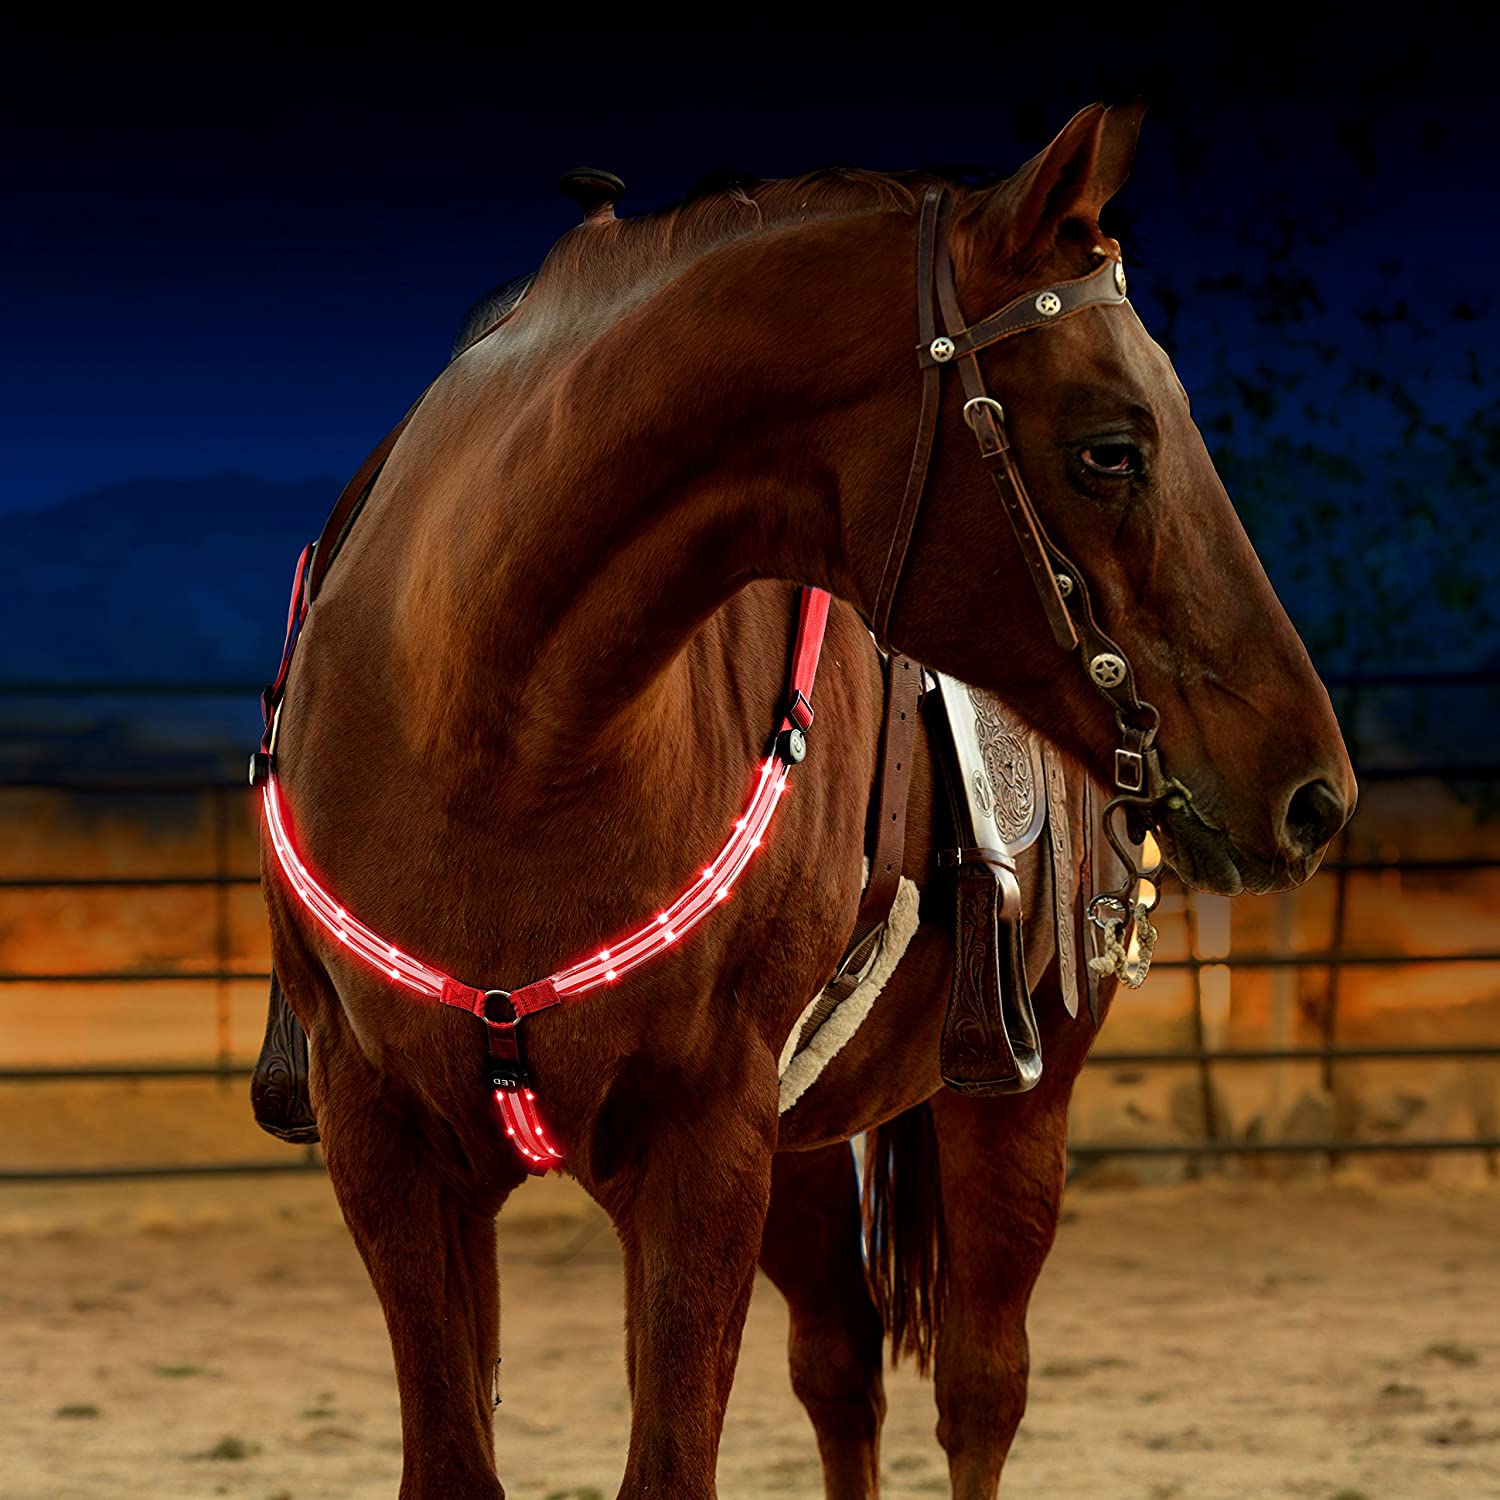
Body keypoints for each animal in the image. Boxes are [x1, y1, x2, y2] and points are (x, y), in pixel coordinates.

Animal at [257, 101, 1355, 1497]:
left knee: (979, 1391)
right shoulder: (390, 1147)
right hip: (802, 1145)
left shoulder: (703, 1148)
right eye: (1112, 449)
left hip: (1011, 1102)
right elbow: (462, 1459)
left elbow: (674, 1461)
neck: (491, 736)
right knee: (841, 1368)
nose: (1314, 794)